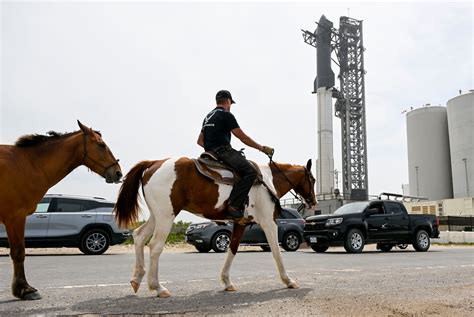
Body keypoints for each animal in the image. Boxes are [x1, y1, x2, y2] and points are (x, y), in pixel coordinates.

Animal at [0, 120, 122, 298]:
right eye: (101, 145)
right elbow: (18, 252)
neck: (28, 164)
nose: (118, 172)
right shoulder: (15, 217)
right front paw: (24, 289)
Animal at [113, 157, 316, 298]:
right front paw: (288, 281)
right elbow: (276, 252)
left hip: (157, 216)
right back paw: (158, 287)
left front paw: (227, 282)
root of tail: (153, 164)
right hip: (165, 216)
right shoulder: (268, 222)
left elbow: (232, 250)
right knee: (155, 246)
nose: (313, 202)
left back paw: (136, 279)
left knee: (139, 236)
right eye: (312, 180)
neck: (267, 181)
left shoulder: (240, 224)